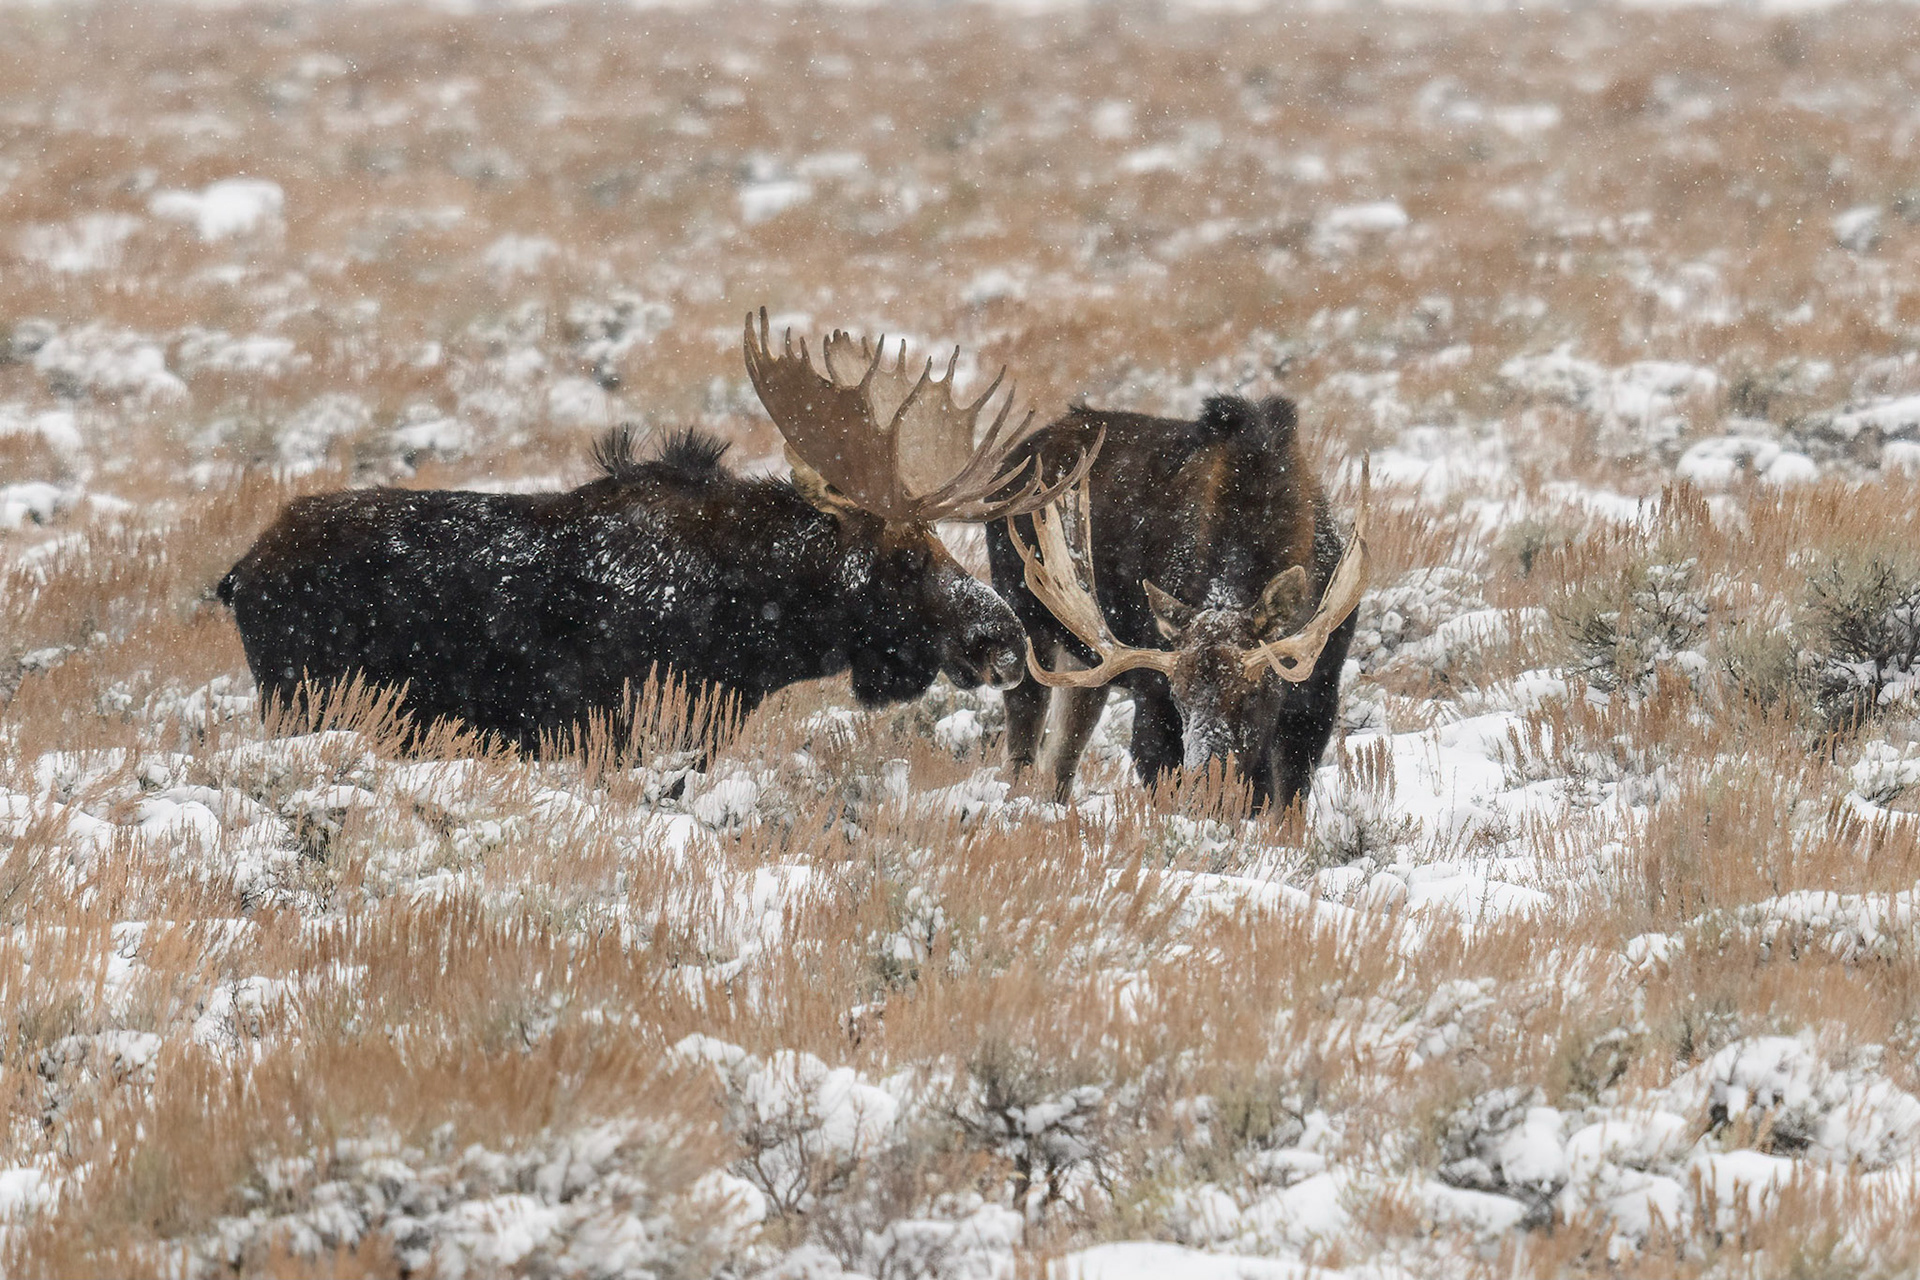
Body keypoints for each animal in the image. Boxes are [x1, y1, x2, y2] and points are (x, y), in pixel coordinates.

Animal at [983, 394, 1368, 812]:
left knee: (1061, 756)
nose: (1207, 785)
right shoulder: (1152, 695)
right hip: (1025, 623)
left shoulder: (1317, 695)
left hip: (1085, 662)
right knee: (1022, 746)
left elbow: (1285, 804)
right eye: (1180, 697)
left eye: (1252, 694)